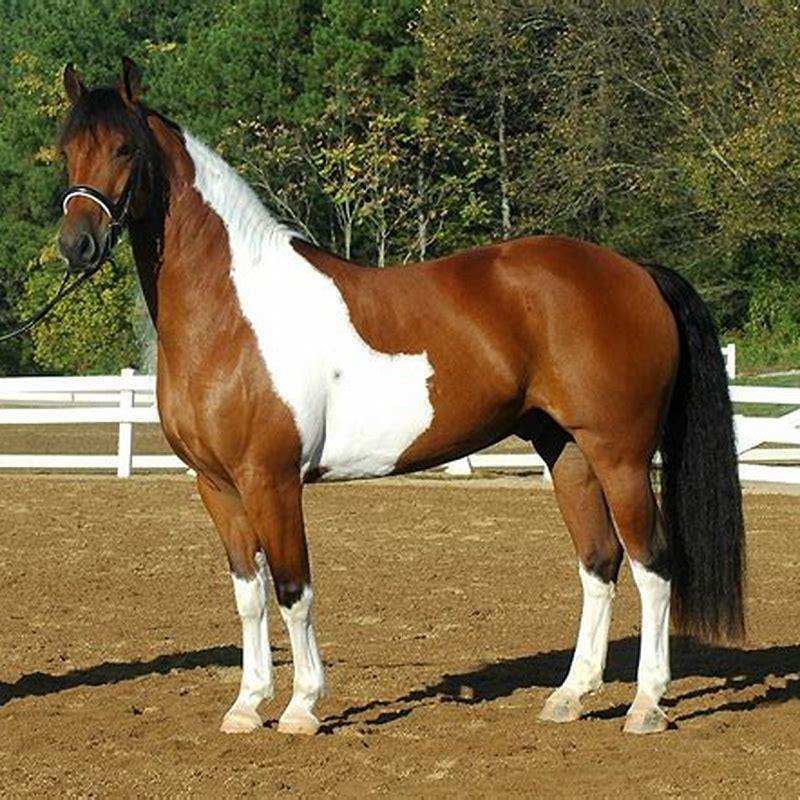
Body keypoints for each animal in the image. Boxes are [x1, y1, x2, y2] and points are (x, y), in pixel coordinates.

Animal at [56, 58, 745, 737]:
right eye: (67, 150)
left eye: (124, 147)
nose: (76, 245)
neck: (233, 312)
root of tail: (636, 273)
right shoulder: (217, 486)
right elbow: (249, 595)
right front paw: (247, 705)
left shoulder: (271, 480)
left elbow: (293, 589)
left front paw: (303, 707)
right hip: (568, 452)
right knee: (599, 563)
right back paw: (570, 696)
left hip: (620, 455)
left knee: (652, 565)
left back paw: (646, 705)